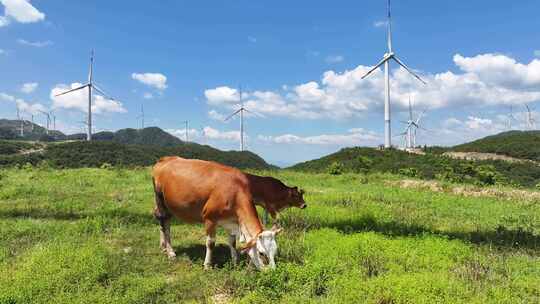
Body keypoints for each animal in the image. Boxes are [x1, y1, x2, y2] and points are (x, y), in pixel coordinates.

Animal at [151, 156, 280, 270]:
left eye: (275, 252)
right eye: (261, 253)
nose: (272, 271)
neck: (235, 191)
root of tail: (166, 159)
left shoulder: (232, 220)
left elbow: (232, 242)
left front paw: (235, 261)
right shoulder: (209, 218)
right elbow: (210, 243)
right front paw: (207, 265)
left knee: (165, 222)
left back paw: (163, 246)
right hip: (160, 199)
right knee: (164, 222)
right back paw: (170, 252)